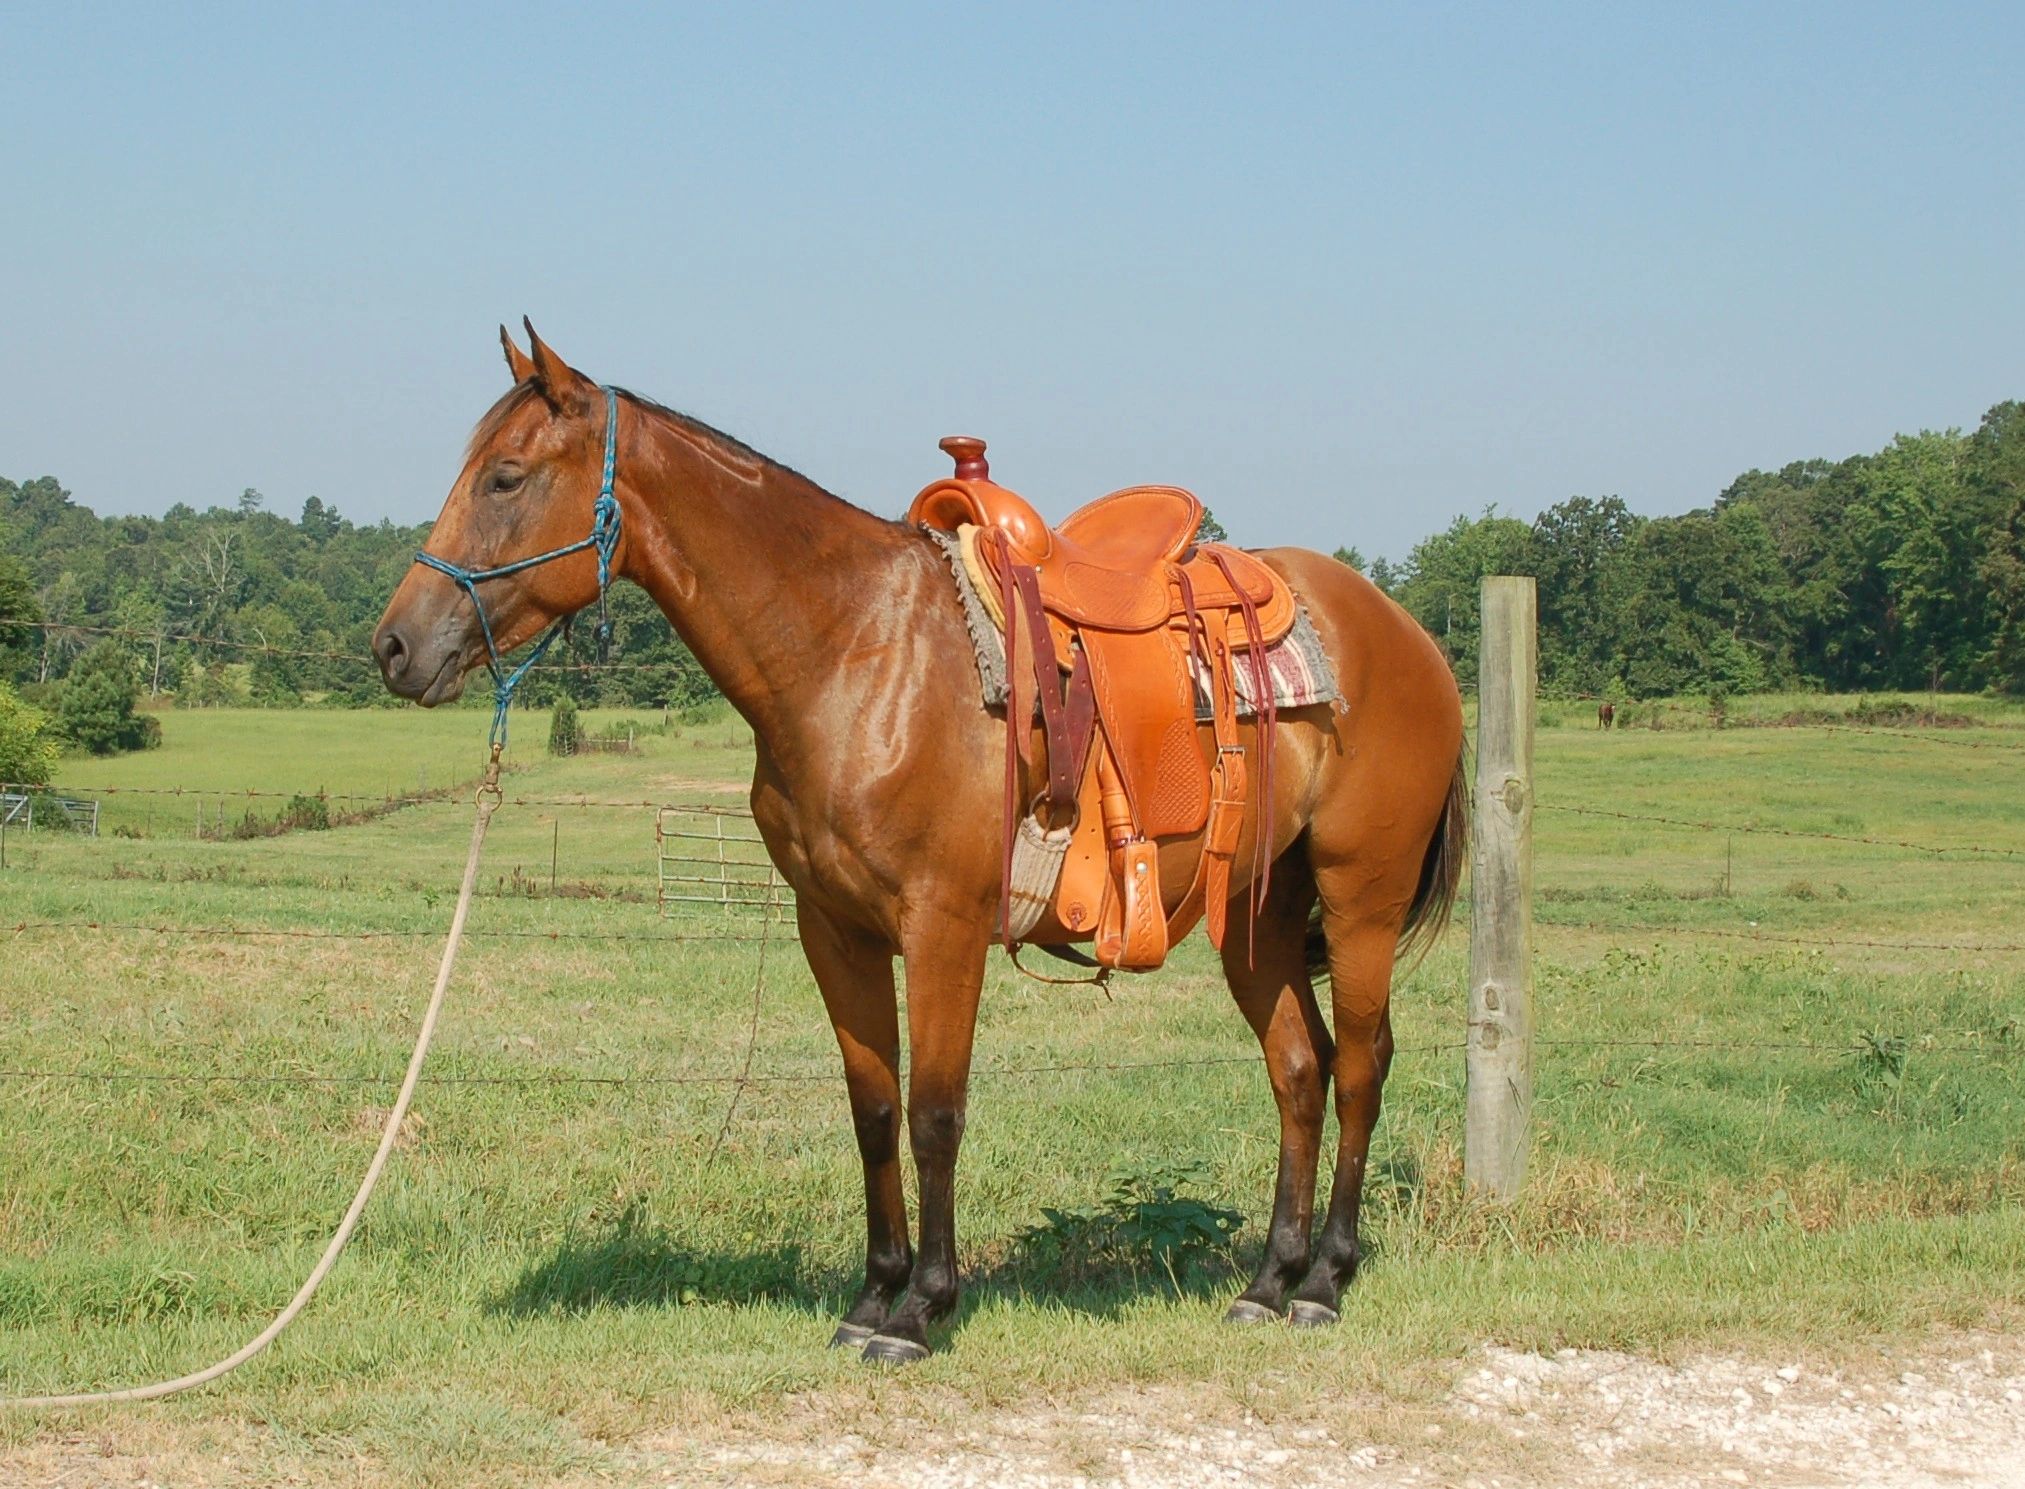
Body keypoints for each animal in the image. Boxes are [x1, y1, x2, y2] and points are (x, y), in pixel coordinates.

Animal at [372, 326, 1466, 1361]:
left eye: (506, 477)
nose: (394, 646)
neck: (857, 650)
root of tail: (1404, 630)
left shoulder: (941, 927)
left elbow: (938, 1112)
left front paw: (922, 1309)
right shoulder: (835, 930)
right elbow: (875, 1109)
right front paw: (870, 1297)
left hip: (1359, 897)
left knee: (1361, 1065)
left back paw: (1325, 1281)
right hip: (1258, 916)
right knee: (1299, 1069)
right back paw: (1268, 1281)